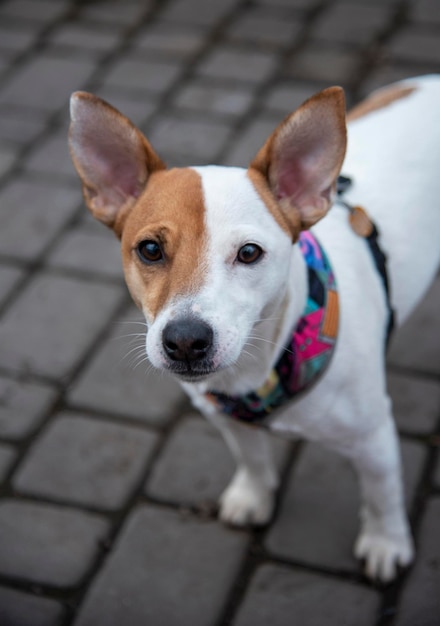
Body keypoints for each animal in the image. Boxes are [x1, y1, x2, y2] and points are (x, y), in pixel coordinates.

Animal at [68, 77, 440, 580]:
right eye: (149, 249)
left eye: (249, 253)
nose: (186, 341)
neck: (267, 361)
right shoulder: (225, 416)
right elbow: (252, 459)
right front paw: (253, 497)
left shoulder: (374, 437)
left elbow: (383, 495)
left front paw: (386, 543)